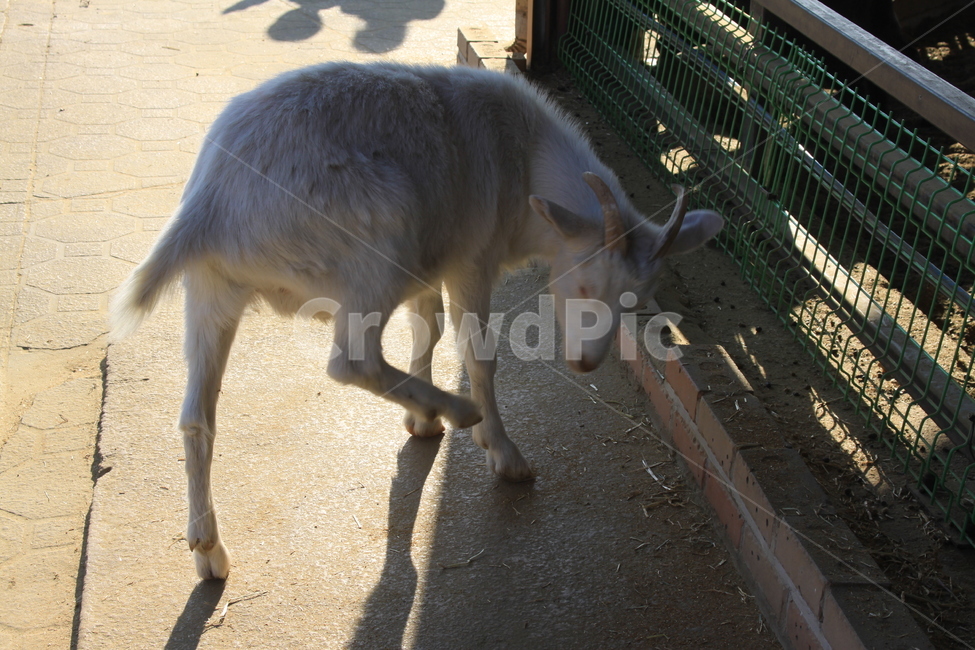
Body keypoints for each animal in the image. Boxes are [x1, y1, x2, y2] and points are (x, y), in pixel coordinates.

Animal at [111, 62, 723, 580]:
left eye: (635, 301)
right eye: (584, 286)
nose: (585, 362)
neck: (523, 154)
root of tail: (209, 205)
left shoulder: (432, 262)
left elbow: (427, 327)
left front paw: (421, 421)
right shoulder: (471, 259)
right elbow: (478, 353)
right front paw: (502, 451)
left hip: (211, 289)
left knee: (197, 416)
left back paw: (209, 551)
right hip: (376, 243)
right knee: (350, 362)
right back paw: (462, 411)